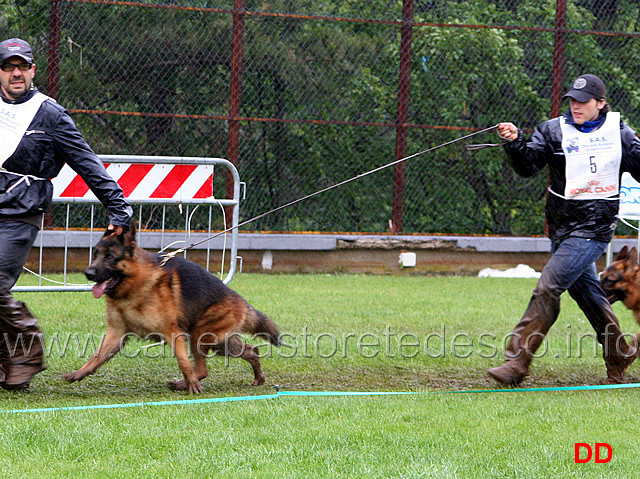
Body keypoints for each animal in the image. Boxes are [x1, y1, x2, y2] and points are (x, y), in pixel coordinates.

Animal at [63, 223, 282, 396]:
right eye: (95, 255)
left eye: (109, 257)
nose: (88, 273)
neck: (135, 284)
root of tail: (243, 303)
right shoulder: (117, 333)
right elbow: (97, 356)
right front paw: (79, 373)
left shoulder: (173, 333)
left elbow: (183, 362)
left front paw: (191, 383)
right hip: (221, 343)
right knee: (252, 350)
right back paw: (258, 378)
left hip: (200, 336)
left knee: (202, 369)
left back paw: (184, 384)